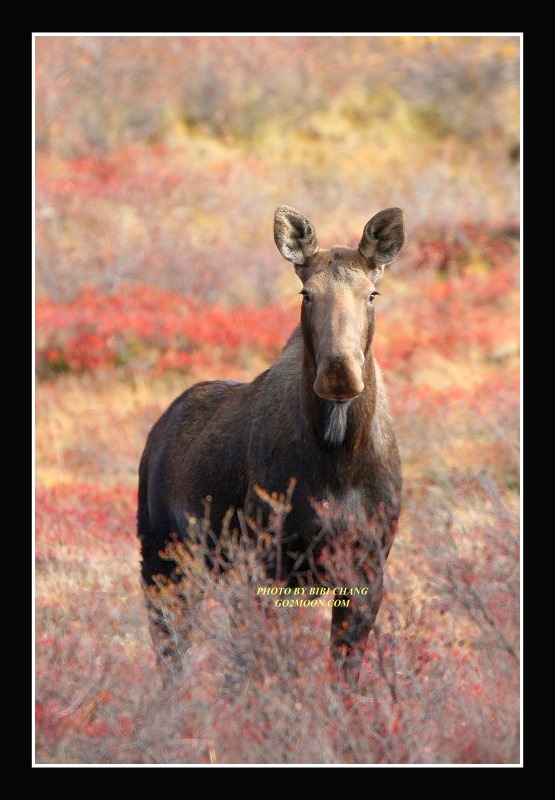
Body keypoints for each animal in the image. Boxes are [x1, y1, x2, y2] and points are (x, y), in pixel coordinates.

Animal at [137, 205, 405, 690]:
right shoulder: (267, 564)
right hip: (163, 558)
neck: (339, 458)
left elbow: (344, 679)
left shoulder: (368, 568)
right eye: (306, 293)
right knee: (170, 652)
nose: (339, 371)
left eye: (372, 294)